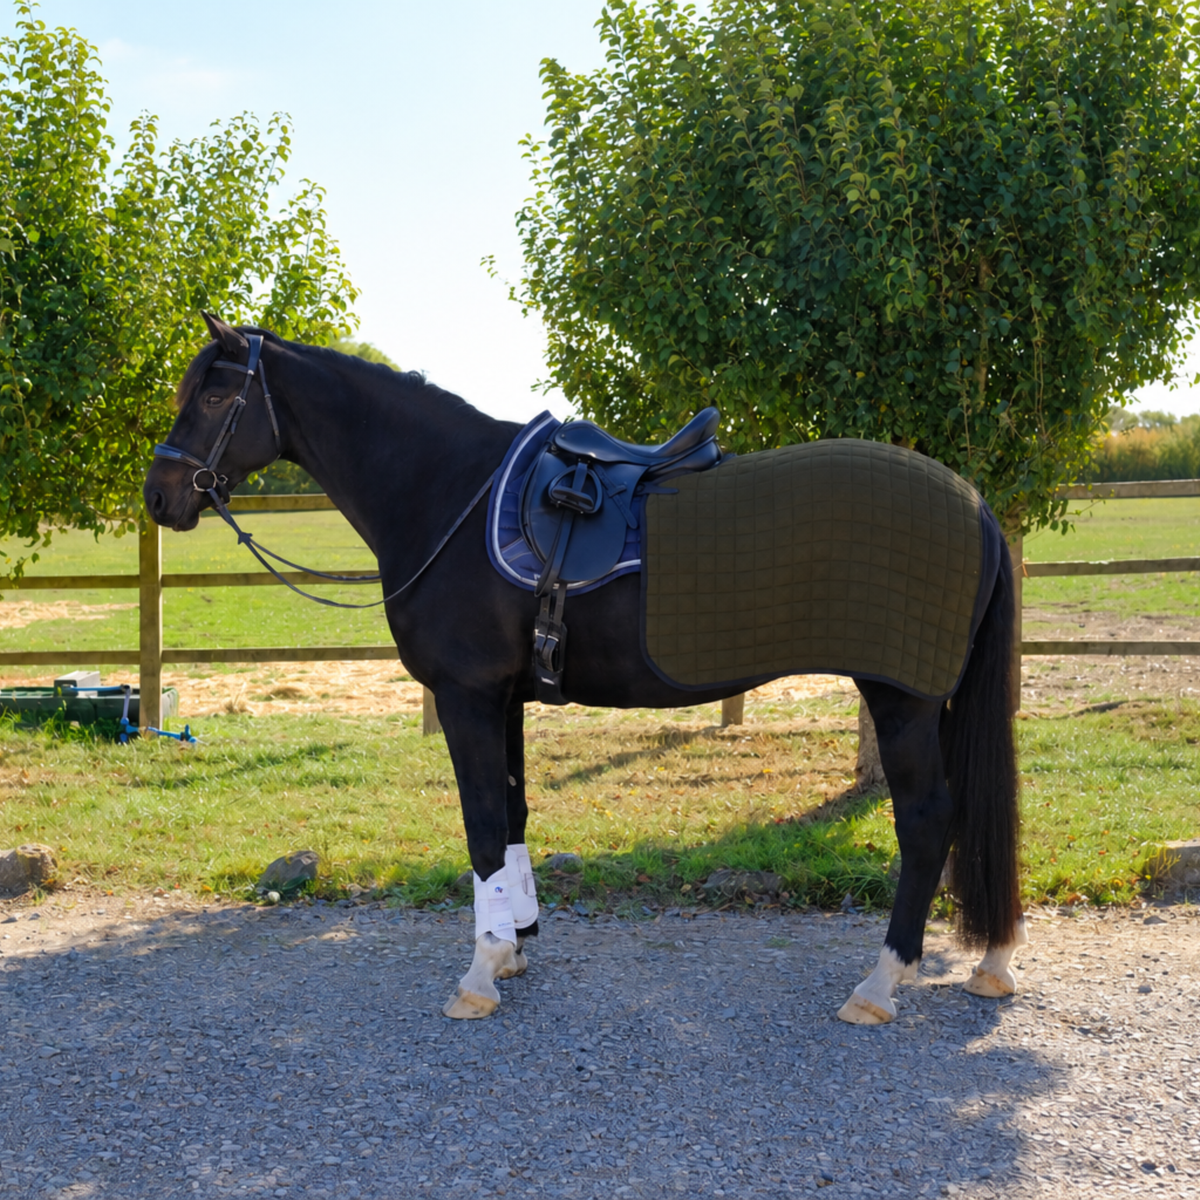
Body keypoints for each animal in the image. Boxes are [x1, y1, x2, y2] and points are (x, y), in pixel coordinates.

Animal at [143, 315, 1025, 1025]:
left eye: (216, 398)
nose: (159, 496)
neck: (448, 492)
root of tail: (974, 501)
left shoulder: (465, 697)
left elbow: (481, 826)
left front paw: (478, 976)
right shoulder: (502, 699)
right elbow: (513, 814)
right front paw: (511, 946)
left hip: (902, 700)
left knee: (926, 821)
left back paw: (879, 985)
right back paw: (989, 963)